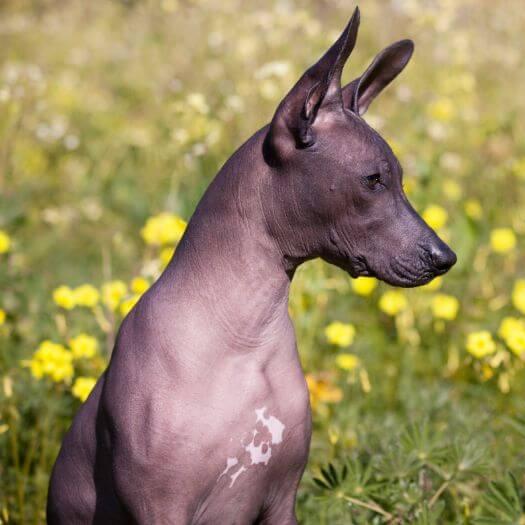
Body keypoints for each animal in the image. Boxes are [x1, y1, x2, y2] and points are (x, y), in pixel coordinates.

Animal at [48, 9, 454, 524]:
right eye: (373, 180)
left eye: (398, 178)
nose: (445, 257)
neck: (244, 334)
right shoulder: (162, 508)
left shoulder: (282, 502)